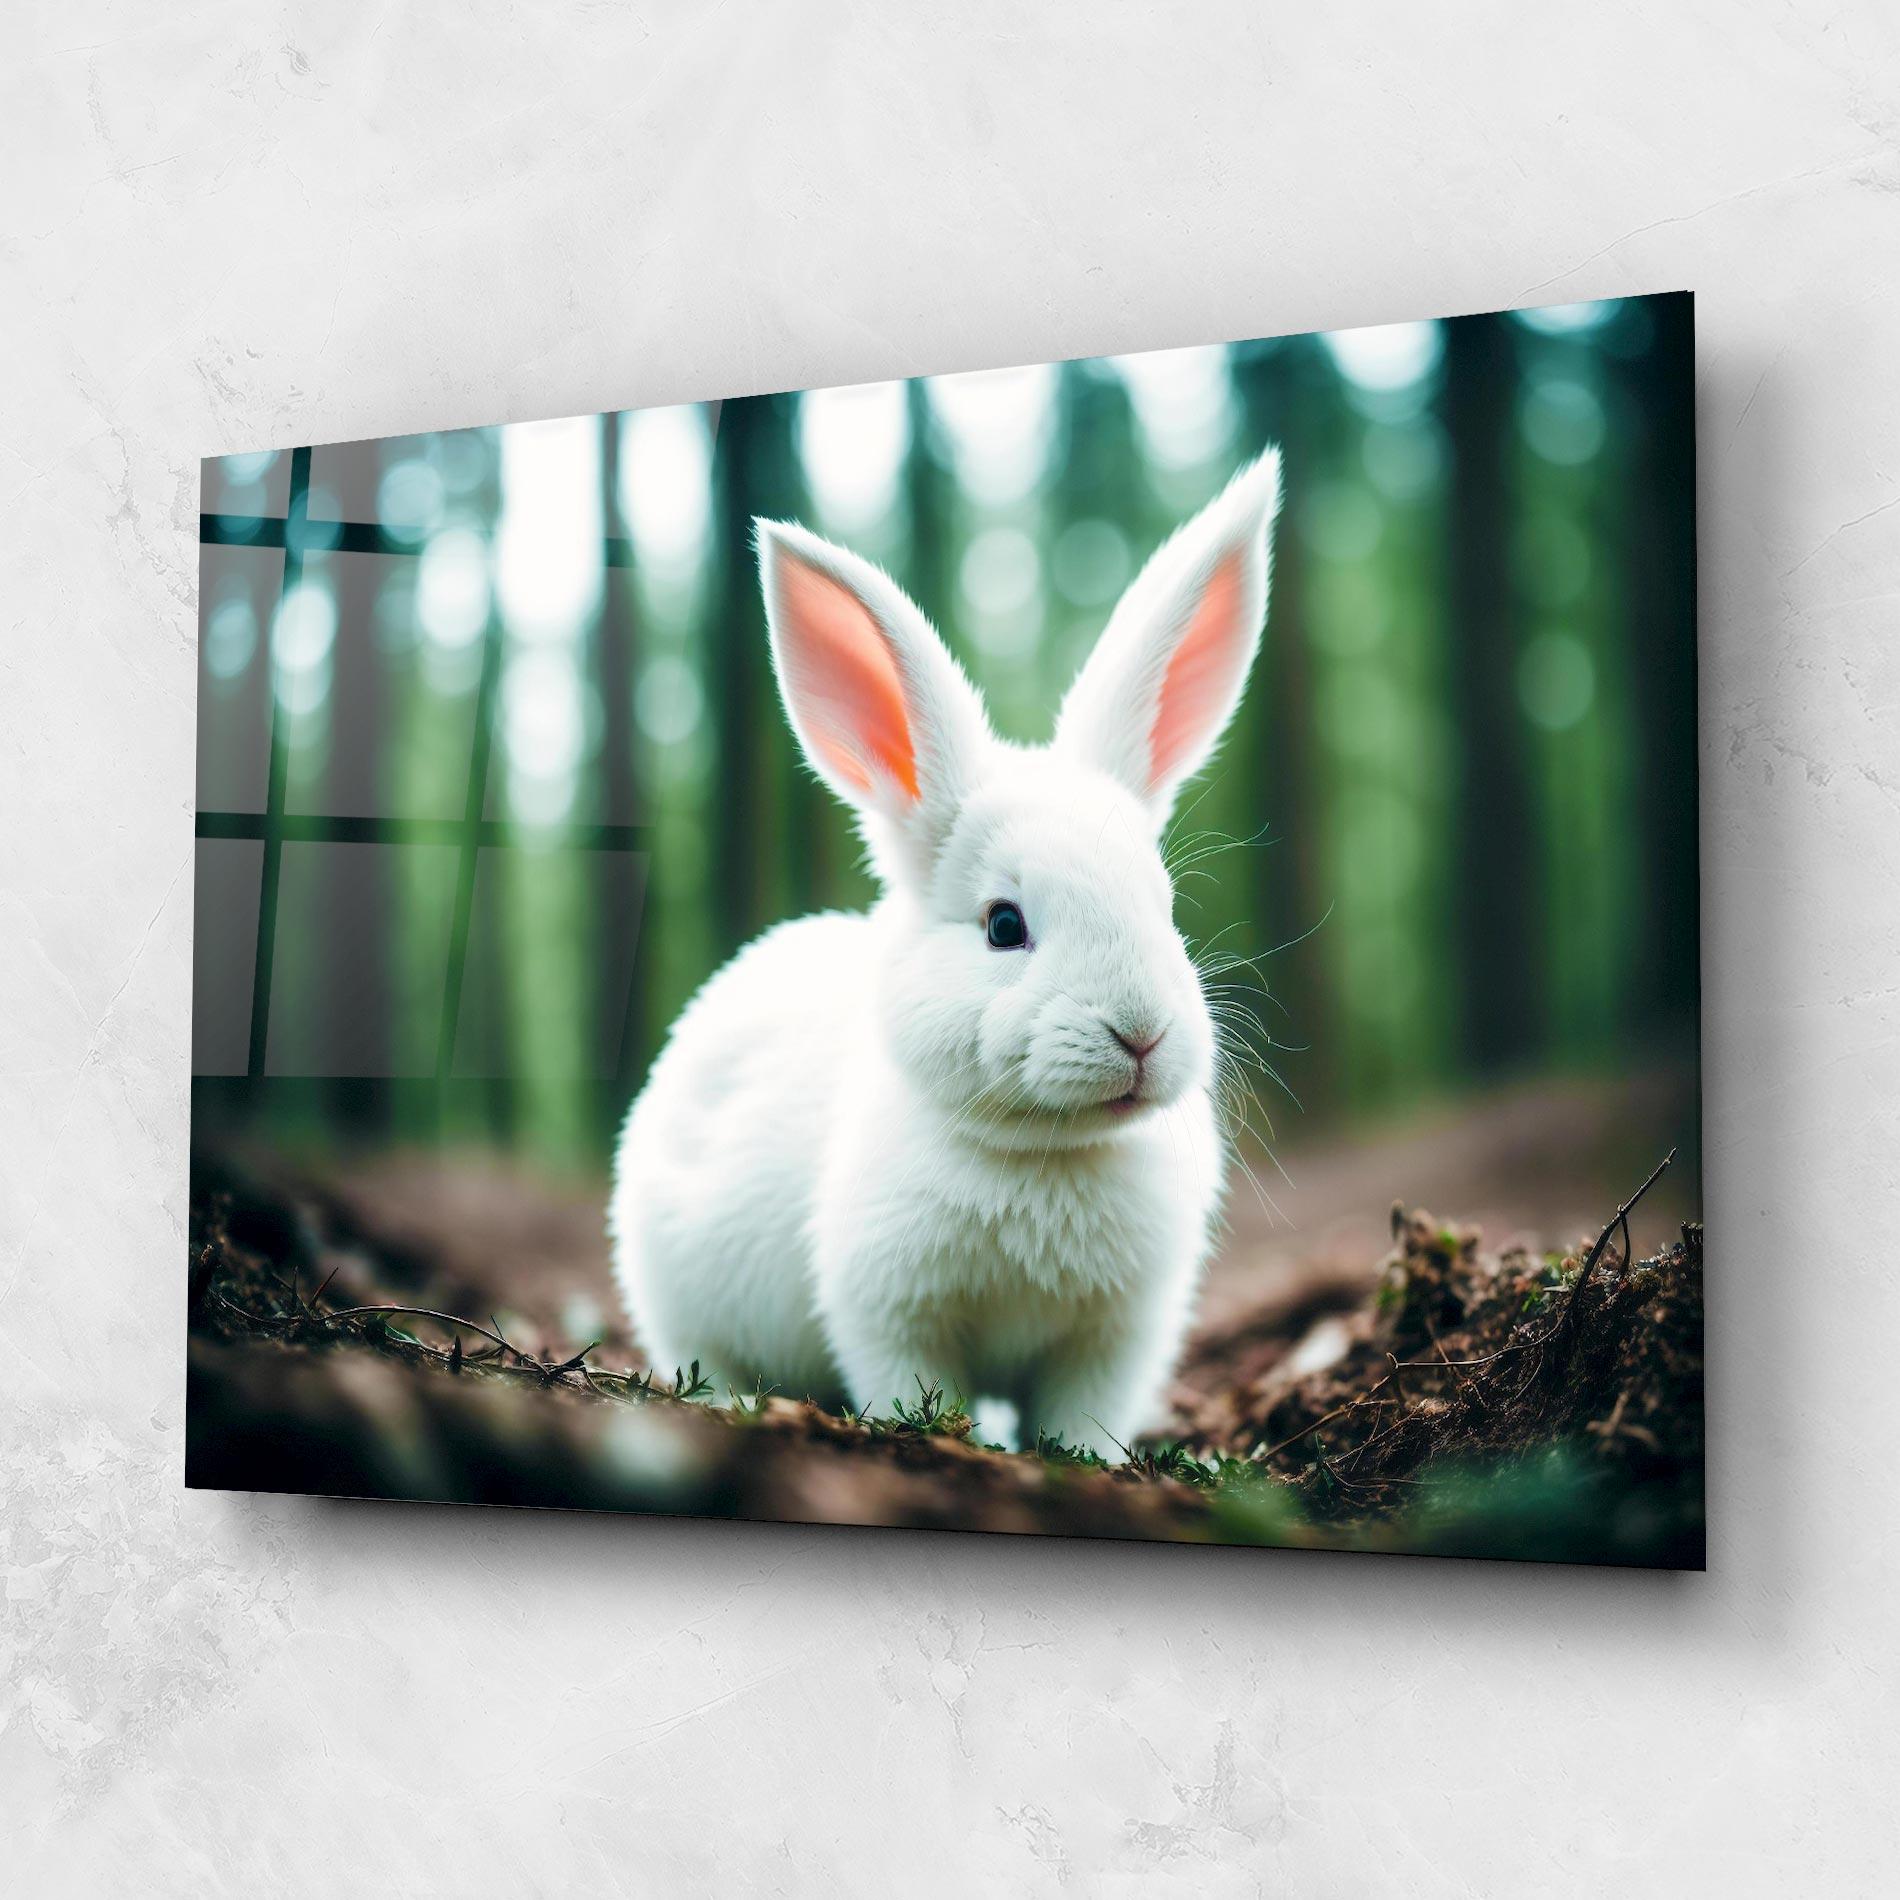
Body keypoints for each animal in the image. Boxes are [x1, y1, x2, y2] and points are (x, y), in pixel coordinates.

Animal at [609, 447, 1282, 1458]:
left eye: (1164, 906)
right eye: (1004, 924)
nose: (1141, 1033)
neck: (1043, 1152)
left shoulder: (1116, 1335)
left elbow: (1082, 1413)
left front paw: (1084, 1460)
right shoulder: (887, 1313)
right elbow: (906, 1379)